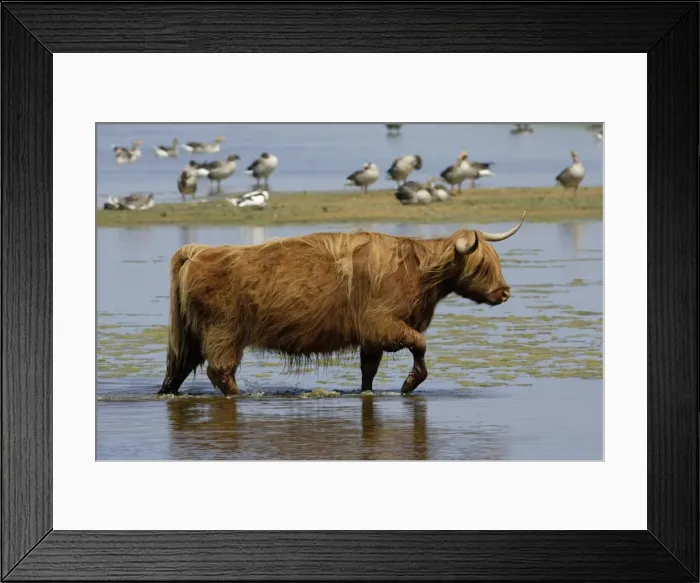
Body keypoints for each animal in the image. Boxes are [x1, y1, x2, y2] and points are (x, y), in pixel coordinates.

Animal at [158, 211, 527, 397]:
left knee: (177, 370)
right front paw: (410, 383)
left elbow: (369, 370)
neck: (418, 273)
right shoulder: (384, 324)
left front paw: (368, 393)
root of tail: (200, 252)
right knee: (220, 372)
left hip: (192, 336)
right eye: (481, 266)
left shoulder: (372, 336)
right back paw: (240, 396)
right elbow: (420, 344)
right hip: (223, 332)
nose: (504, 292)